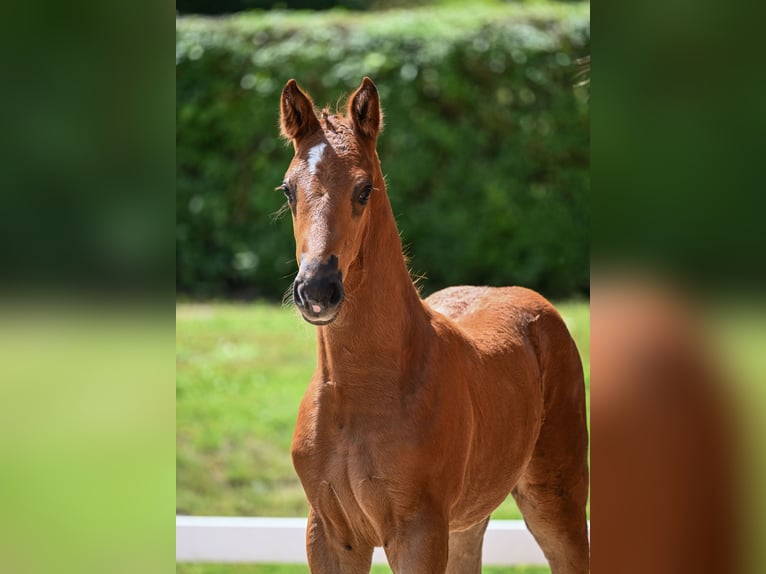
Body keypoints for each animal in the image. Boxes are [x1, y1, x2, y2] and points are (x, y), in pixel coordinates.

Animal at [278, 77, 589, 573]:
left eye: (364, 189)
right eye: (288, 190)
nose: (318, 288)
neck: (358, 393)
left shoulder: (418, 532)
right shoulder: (328, 532)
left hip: (555, 498)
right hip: (467, 521)